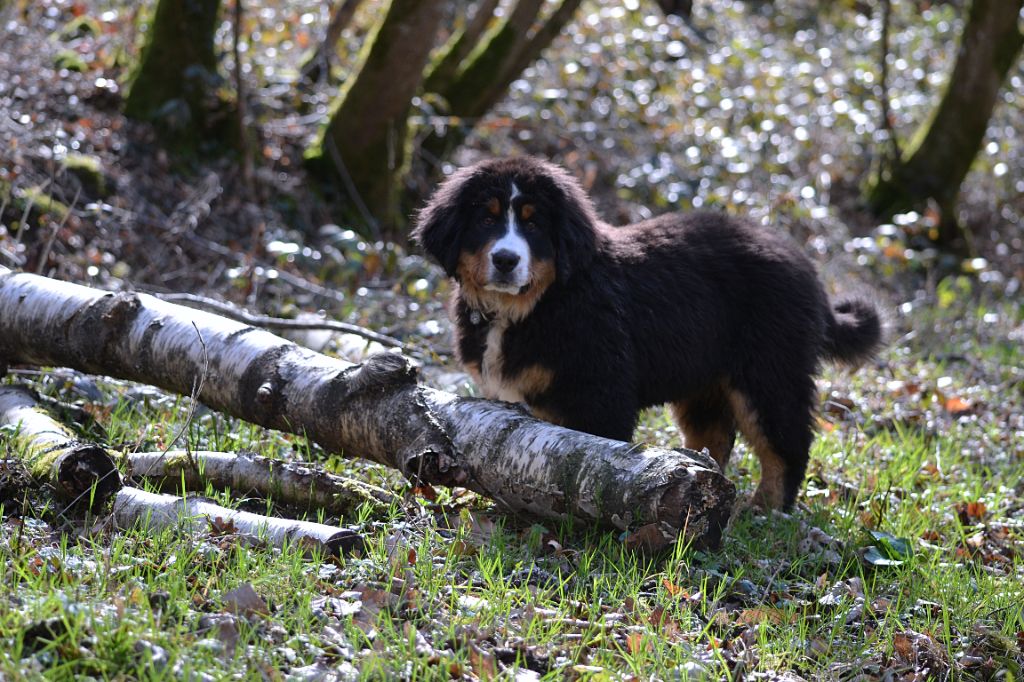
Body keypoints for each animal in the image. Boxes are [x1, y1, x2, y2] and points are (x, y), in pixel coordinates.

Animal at [412, 157, 881, 509]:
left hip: (768, 371)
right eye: (485, 219)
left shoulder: (600, 392)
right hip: (704, 380)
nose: (506, 260)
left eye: (533, 225)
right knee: (715, 435)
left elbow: (586, 460)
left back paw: (766, 509)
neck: (533, 307)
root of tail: (805, 267)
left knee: (785, 445)